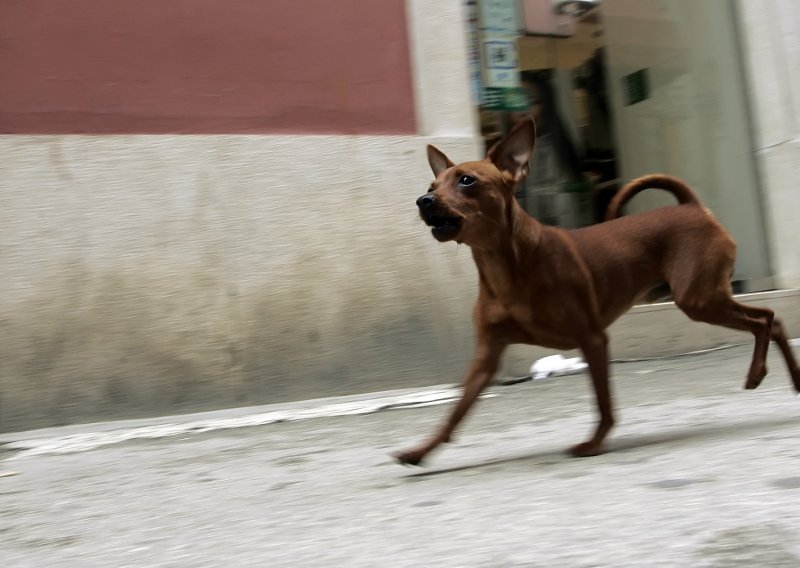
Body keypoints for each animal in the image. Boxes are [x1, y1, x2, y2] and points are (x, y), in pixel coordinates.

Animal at [396, 116, 800, 466]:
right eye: (432, 187)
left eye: (466, 180)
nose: (423, 201)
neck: (505, 268)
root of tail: (692, 206)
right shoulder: (486, 356)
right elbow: (455, 411)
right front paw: (421, 450)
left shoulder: (592, 338)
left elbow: (603, 400)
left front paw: (594, 442)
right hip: (704, 299)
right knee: (771, 321)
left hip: (699, 299)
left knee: (767, 319)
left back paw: (765, 374)